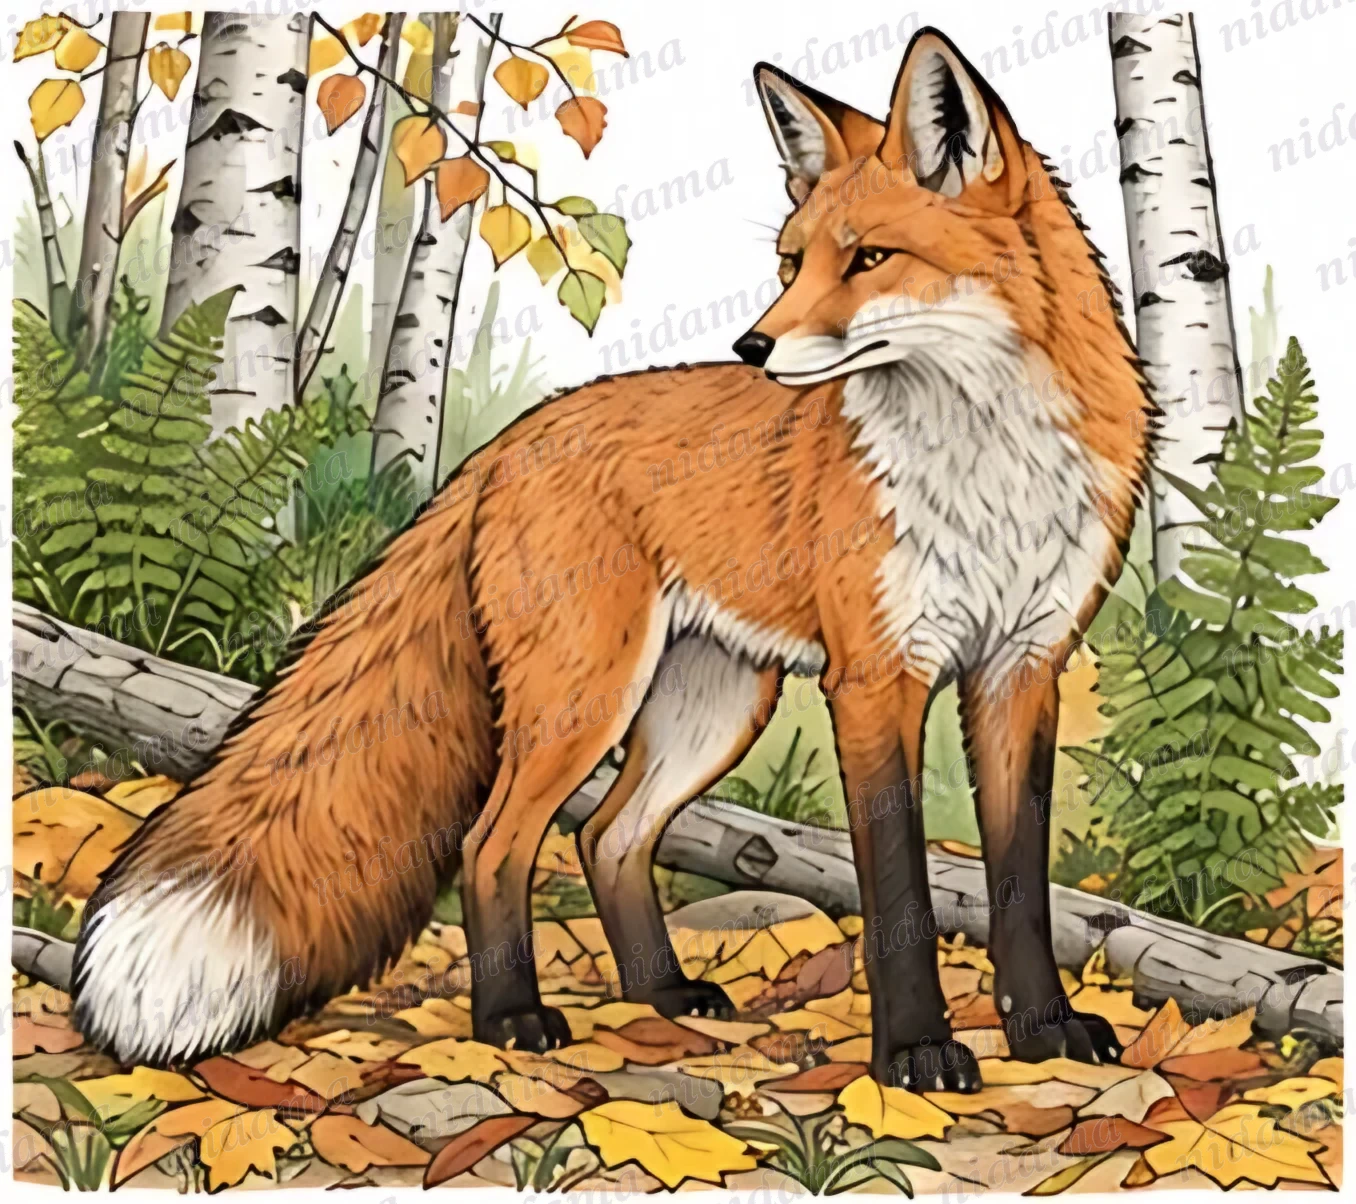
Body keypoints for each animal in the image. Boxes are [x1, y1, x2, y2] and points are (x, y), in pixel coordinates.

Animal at [74, 29, 1152, 1093]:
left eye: (872, 258)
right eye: (792, 262)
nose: (753, 345)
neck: (987, 467)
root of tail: (508, 442)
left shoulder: (1022, 668)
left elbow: (1019, 883)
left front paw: (1043, 1029)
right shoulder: (875, 677)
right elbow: (898, 893)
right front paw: (915, 1053)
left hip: (712, 705)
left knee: (610, 835)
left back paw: (661, 992)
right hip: (586, 697)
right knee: (495, 842)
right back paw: (511, 1016)